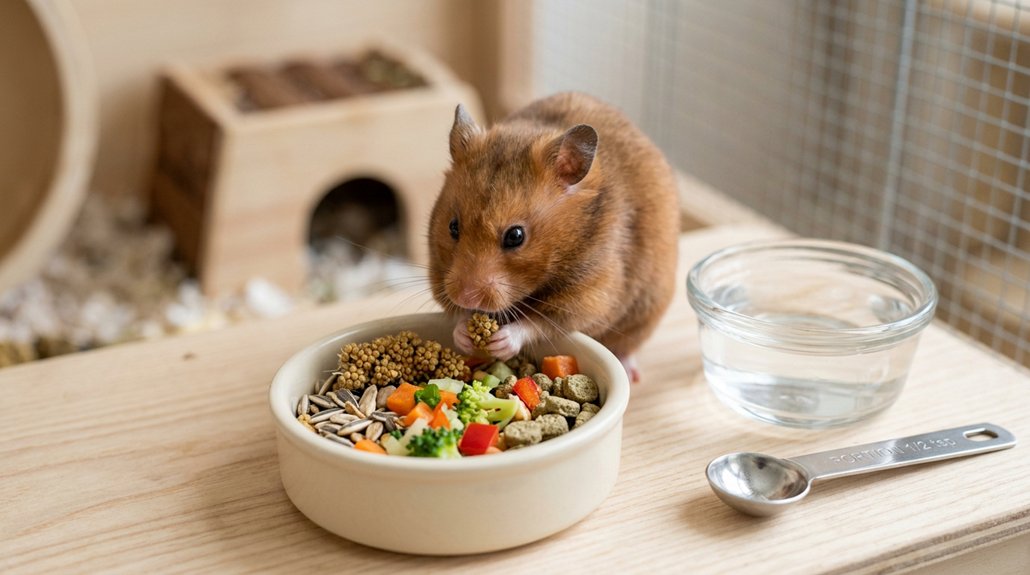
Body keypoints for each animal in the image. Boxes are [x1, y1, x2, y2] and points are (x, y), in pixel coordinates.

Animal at [427, 92, 679, 382]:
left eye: (515, 236)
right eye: (453, 227)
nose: (465, 297)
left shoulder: (591, 294)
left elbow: (540, 323)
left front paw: (502, 341)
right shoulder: (439, 275)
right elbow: (456, 315)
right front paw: (463, 335)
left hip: (645, 313)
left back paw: (631, 373)